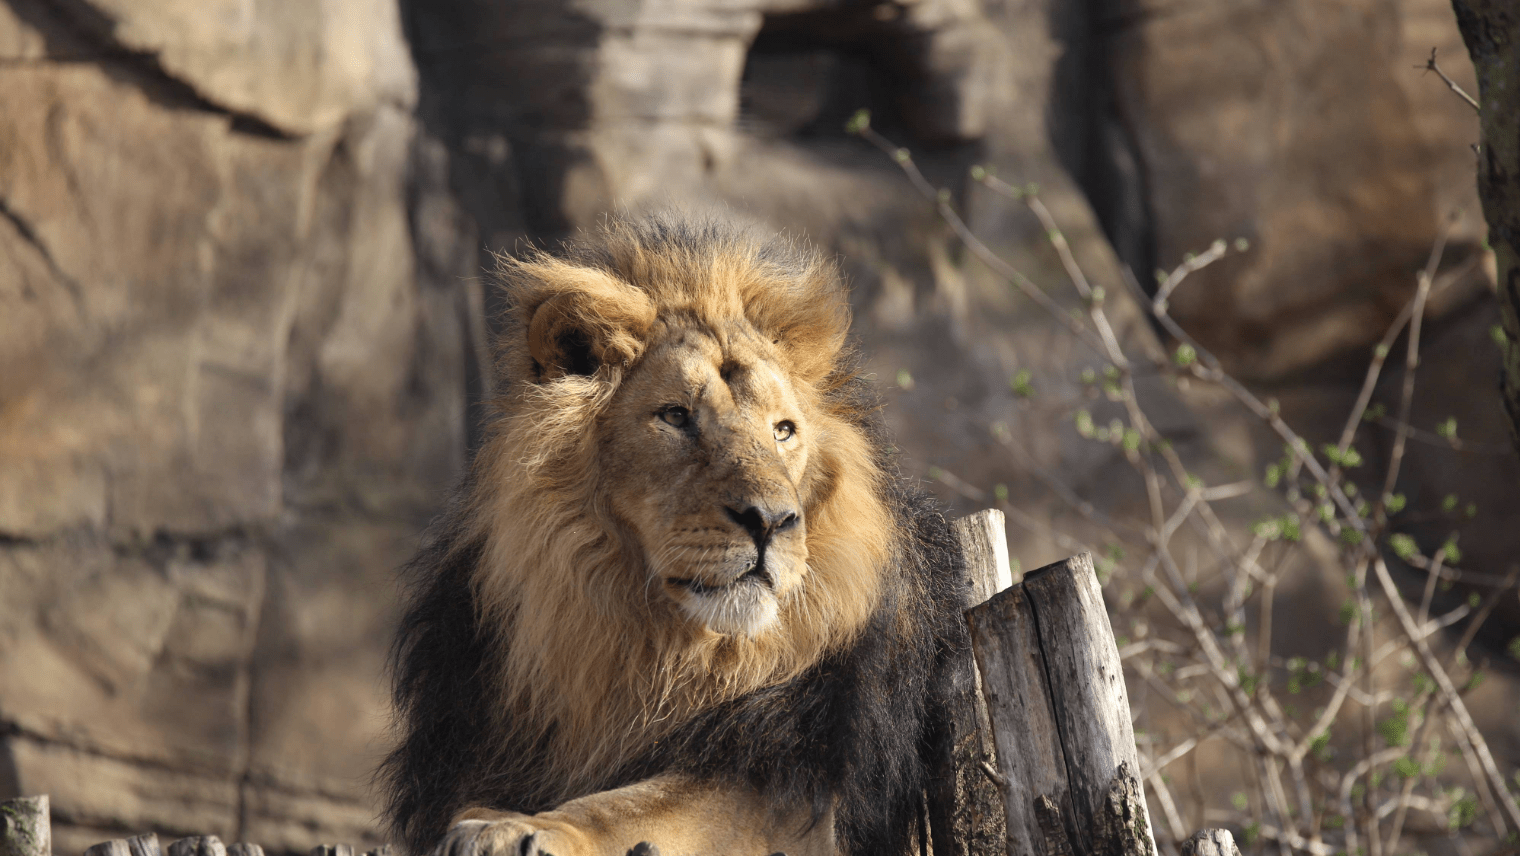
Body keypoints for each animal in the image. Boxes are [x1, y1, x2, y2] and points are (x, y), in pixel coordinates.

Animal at [379, 214, 968, 856]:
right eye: (676, 417)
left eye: (784, 430)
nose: (771, 520)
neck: (642, 641)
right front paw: (495, 815)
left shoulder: (787, 785)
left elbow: (630, 805)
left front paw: (523, 827)